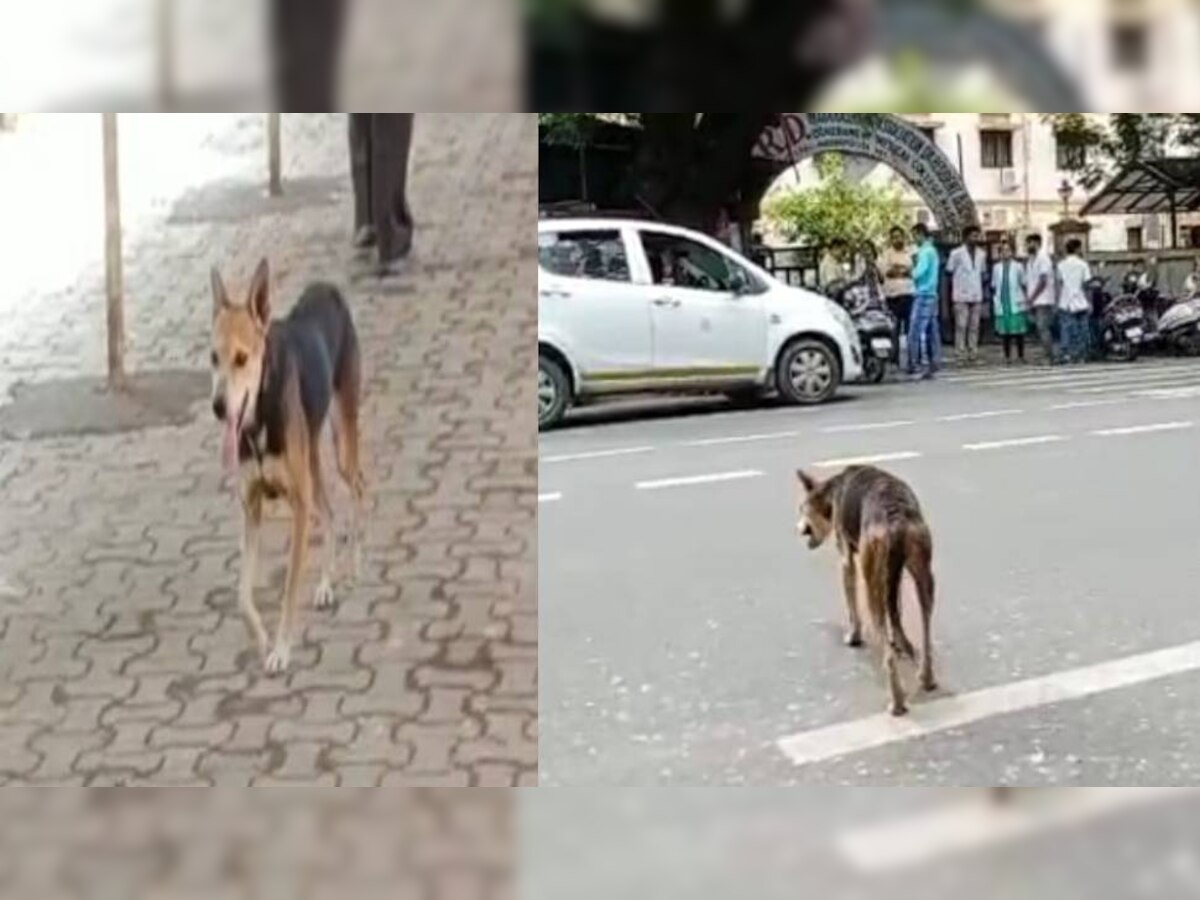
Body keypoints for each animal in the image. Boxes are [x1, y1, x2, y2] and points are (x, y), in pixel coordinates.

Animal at [208, 256, 362, 672]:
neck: (259, 416)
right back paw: (325, 585)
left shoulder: (298, 506)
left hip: (342, 440)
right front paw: (261, 638)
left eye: (242, 358)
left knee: (360, 488)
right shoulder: (252, 507)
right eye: (213, 358)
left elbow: (290, 589)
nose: (218, 407)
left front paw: (281, 647)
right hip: (311, 457)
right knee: (330, 511)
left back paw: (358, 563)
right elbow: (241, 594)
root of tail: (327, 288)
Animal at [796, 465, 936, 720]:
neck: (833, 491)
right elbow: (896, 611)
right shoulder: (893, 575)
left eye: (802, 509)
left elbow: (852, 609)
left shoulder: (847, 561)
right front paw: (902, 641)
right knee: (925, 631)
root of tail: (894, 515)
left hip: (872, 581)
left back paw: (897, 702)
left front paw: (854, 636)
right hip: (923, 573)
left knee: (888, 656)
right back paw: (926, 677)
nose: (798, 530)